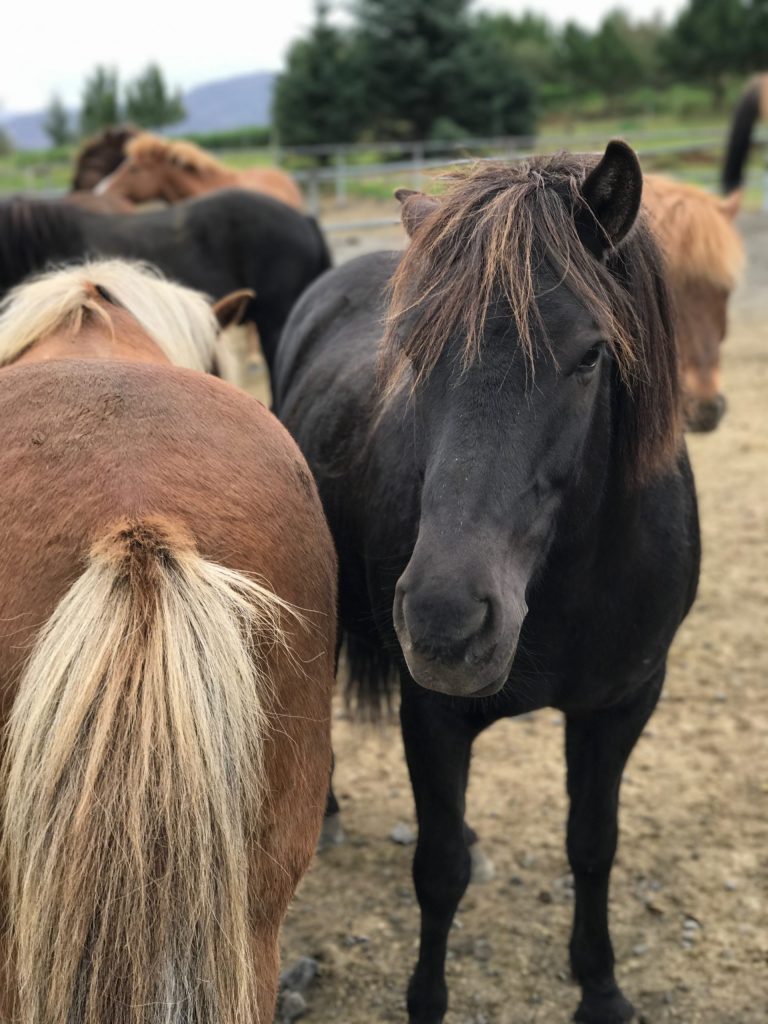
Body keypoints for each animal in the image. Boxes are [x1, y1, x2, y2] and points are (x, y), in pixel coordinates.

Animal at [276, 146, 704, 1024]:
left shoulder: (623, 706)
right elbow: (438, 874)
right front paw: (426, 1001)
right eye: (413, 352)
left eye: (590, 354)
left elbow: (593, 846)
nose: (444, 622)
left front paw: (601, 988)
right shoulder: (431, 714)